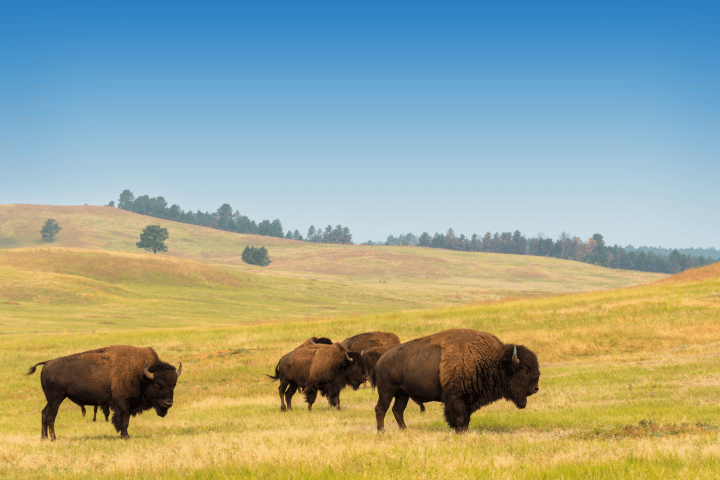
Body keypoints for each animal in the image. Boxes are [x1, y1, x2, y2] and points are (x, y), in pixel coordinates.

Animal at [26, 345, 181, 440]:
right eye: (157, 384)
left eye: (174, 384)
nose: (168, 403)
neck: (143, 374)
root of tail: (47, 363)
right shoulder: (123, 404)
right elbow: (124, 421)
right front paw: (125, 436)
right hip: (56, 399)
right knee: (51, 416)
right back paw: (53, 438)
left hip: (52, 399)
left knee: (44, 413)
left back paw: (44, 438)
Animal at [372, 329, 540, 433]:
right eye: (524, 369)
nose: (535, 388)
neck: (492, 360)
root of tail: (382, 357)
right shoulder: (456, 398)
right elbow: (458, 416)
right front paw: (459, 431)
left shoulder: (468, 399)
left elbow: (466, 417)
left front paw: (464, 430)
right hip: (387, 390)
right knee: (381, 409)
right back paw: (382, 432)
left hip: (402, 394)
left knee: (397, 410)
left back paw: (405, 431)